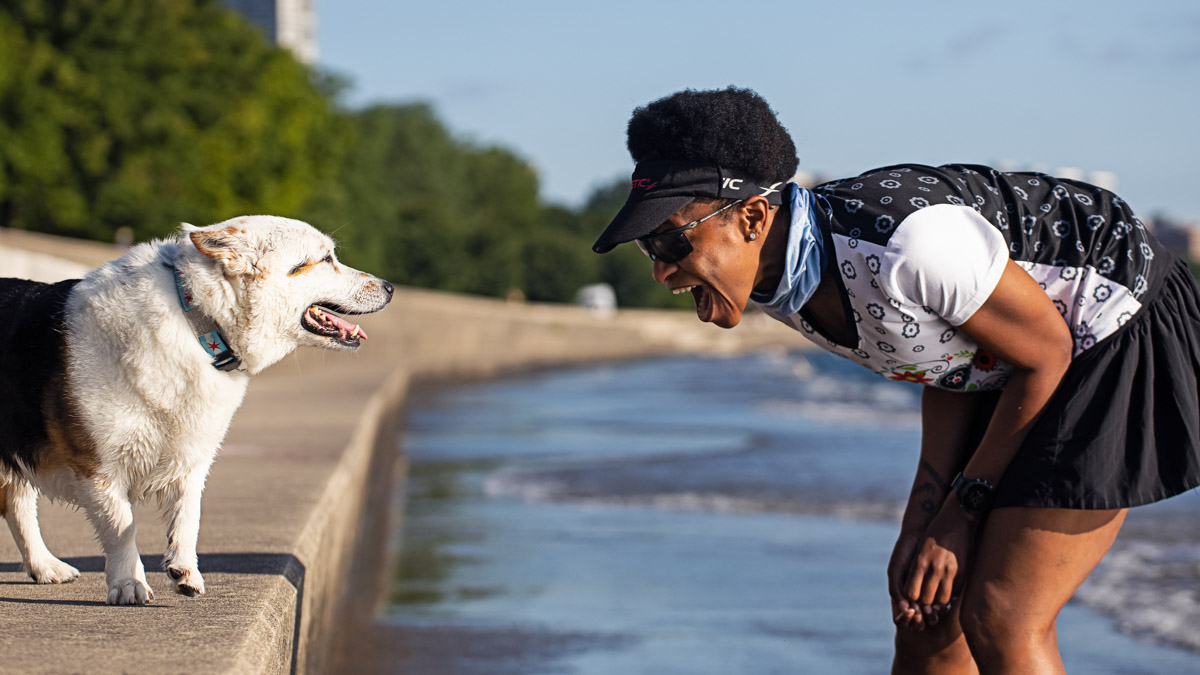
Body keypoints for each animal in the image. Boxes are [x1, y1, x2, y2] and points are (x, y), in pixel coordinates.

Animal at [0, 216, 393, 605]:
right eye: (325, 259)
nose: (390, 287)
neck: (197, 320)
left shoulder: (192, 457)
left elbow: (188, 517)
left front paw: (184, 571)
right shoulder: (98, 466)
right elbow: (121, 527)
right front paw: (129, 583)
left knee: (17, 505)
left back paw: (46, 567)